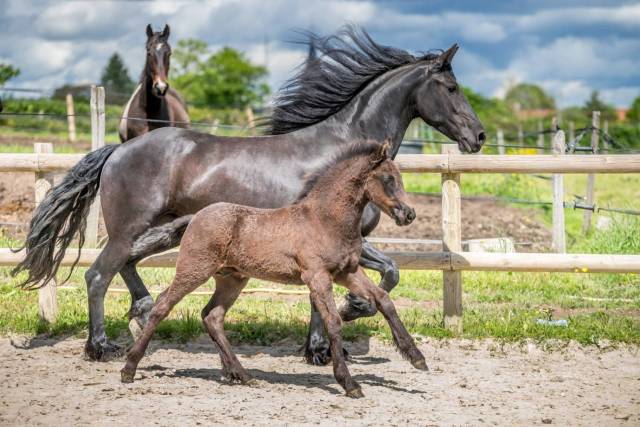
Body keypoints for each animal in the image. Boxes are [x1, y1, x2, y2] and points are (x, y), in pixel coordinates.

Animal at [13, 25, 484, 364]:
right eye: (452, 88)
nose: (478, 136)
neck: (342, 152)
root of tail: (117, 150)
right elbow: (377, 278)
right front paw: (342, 321)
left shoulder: (343, 246)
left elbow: (376, 276)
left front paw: (324, 340)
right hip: (129, 229)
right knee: (98, 276)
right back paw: (100, 347)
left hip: (160, 230)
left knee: (126, 267)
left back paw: (142, 312)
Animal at [122, 141, 428, 398]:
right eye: (388, 179)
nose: (409, 214)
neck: (325, 219)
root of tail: (196, 216)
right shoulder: (317, 276)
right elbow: (333, 321)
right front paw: (349, 383)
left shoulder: (348, 272)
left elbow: (383, 300)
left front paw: (416, 357)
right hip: (194, 269)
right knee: (163, 305)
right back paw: (129, 368)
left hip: (232, 279)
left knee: (212, 316)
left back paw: (241, 374)